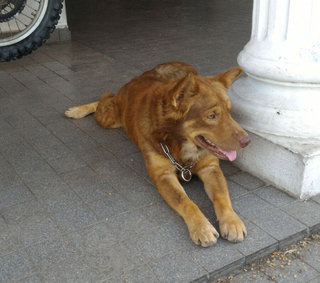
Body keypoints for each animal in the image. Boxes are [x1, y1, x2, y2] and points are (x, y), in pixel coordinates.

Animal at [65, 62, 250, 248]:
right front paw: (201, 227)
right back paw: (77, 110)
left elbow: (221, 196)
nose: (247, 141)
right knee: (104, 99)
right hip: (108, 118)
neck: (178, 143)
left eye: (229, 112)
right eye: (211, 116)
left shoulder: (210, 168)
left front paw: (232, 221)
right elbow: (186, 202)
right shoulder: (163, 176)